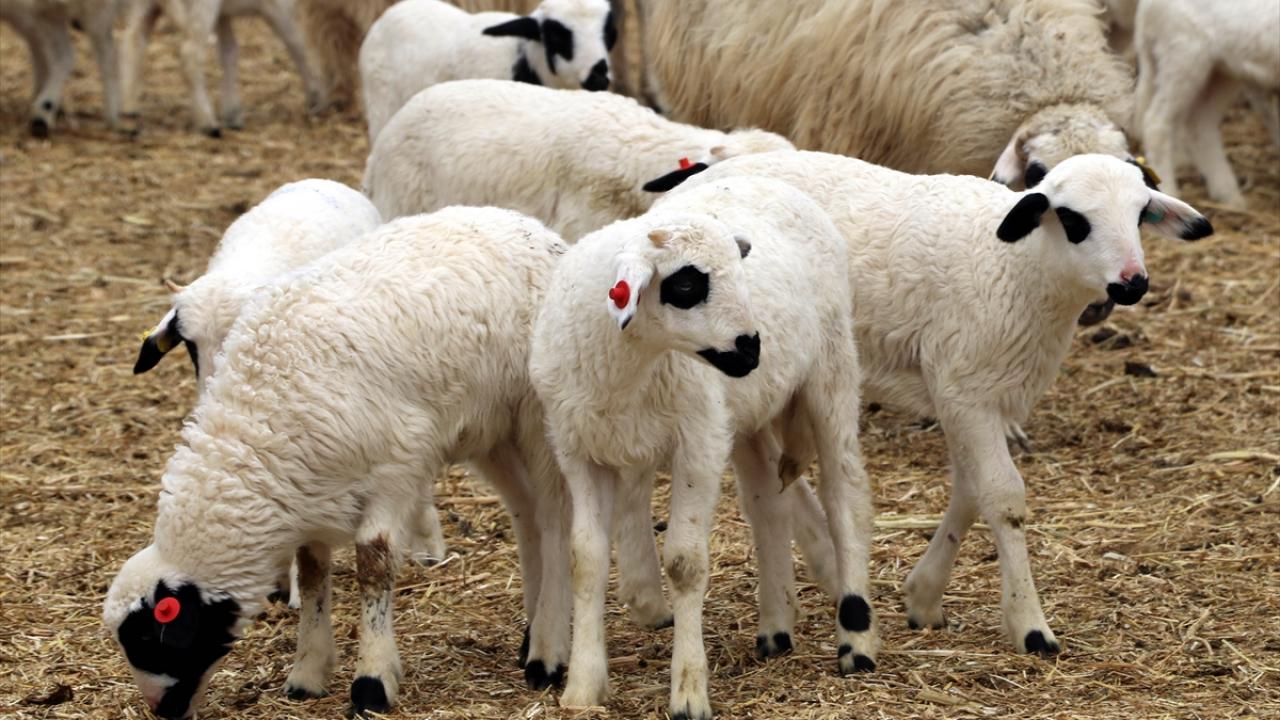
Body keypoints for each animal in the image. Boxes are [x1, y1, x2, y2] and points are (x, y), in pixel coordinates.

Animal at [103, 207, 572, 719]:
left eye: (149, 637)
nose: (162, 710)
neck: (262, 420)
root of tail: (525, 225)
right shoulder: (314, 492)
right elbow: (311, 573)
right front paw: (308, 673)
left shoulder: (395, 470)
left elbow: (374, 565)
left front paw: (372, 682)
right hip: (492, 429)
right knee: (527, 515)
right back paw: (531, 635)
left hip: (537, 414)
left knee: (553, 518)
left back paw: (547, 654)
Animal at [118, 0, 326, 136]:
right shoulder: (279, 6)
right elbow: (297, 43)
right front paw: (316, 96)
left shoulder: (223, 15)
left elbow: (229, 52)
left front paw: (232, 112)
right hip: (202, 6)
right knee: (190, 54)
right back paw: (207, 122)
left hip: (144, 4)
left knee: (134, 38)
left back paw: (129, 107)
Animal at [529, 176, 877, 718]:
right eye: (688, 285)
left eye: (740, 268)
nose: (752, 348)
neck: (628, 370)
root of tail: (765, 178)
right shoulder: (579, 453)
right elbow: (584, 559)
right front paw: (583, 688)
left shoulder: (697, 444)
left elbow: (684, 563)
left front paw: (688, 691)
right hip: (745, 416)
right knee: (768, 506)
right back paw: (776, 628)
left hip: (830, 370)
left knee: (846, 498)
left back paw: (856, 641)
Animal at [675, 151, 1212, 656]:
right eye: (1073, 219)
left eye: (1141, 214)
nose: (1133, 282)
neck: (1018, 266)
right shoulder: (964, 388)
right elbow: (1003, 496)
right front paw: (1030, 625)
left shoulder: (971, 393)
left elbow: (972, 491)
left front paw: (925, 596)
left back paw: (824, 558)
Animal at [1134, 0, 1280, 209]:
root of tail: (1144, 9)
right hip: (1183, 55)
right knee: (1156, 123)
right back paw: (1171, 193)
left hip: (1221, 71)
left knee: (1201, 124)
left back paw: (1231, 198)